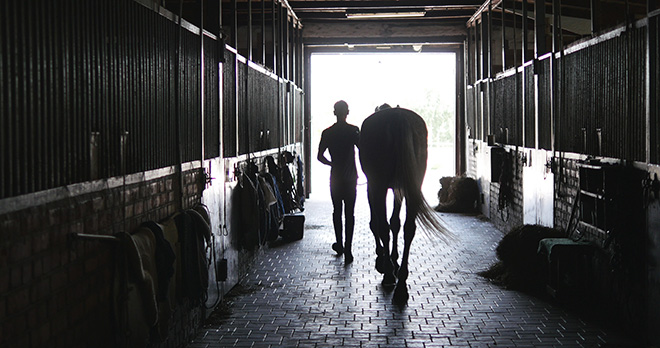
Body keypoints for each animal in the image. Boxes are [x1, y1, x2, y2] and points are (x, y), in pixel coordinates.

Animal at [358, 106, 452, 304]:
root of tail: (397, 116)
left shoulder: (373, 187)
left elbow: (377, 223)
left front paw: (383, 260)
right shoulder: (399, 188)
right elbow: (396, 223)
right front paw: (394, 260)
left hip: (379, 185)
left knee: (383, 227)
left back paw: (388, 275)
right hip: (413, 185)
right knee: (409, 229)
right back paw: (401, 284)